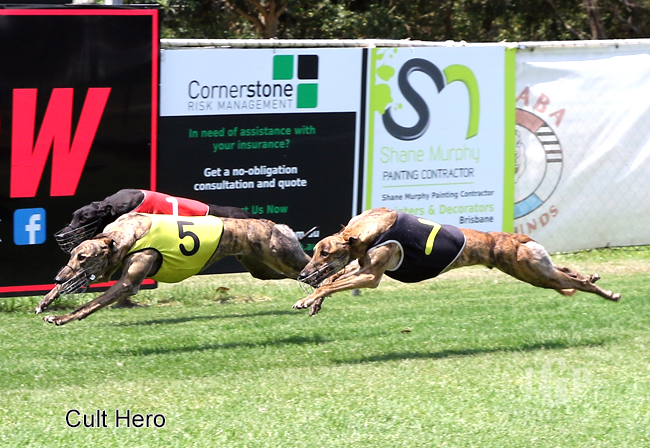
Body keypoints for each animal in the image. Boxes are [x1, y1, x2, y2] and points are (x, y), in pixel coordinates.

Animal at [37, 212, 311, 325]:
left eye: (83, 256)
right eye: (72, 255)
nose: (57, 277)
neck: (125, 234)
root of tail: (276, 225)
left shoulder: (128, 282)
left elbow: (90, 304)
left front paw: (60, 318)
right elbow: (75, 285)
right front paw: (46, 301)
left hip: (283, 259)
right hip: (263, 269)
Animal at [293, 207, 621, 316]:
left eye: (324, 252)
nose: (303, 274)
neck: (369, 228)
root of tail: (519, 238)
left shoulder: (370, 275)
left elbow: (331, 282)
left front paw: (308, 299)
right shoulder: (360, 264)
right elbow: (333, 279)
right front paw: (314, 301)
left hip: (533, 273)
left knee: (576, 282)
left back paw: (607, 293)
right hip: (540, 269)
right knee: (567, 271)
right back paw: (591, 278)